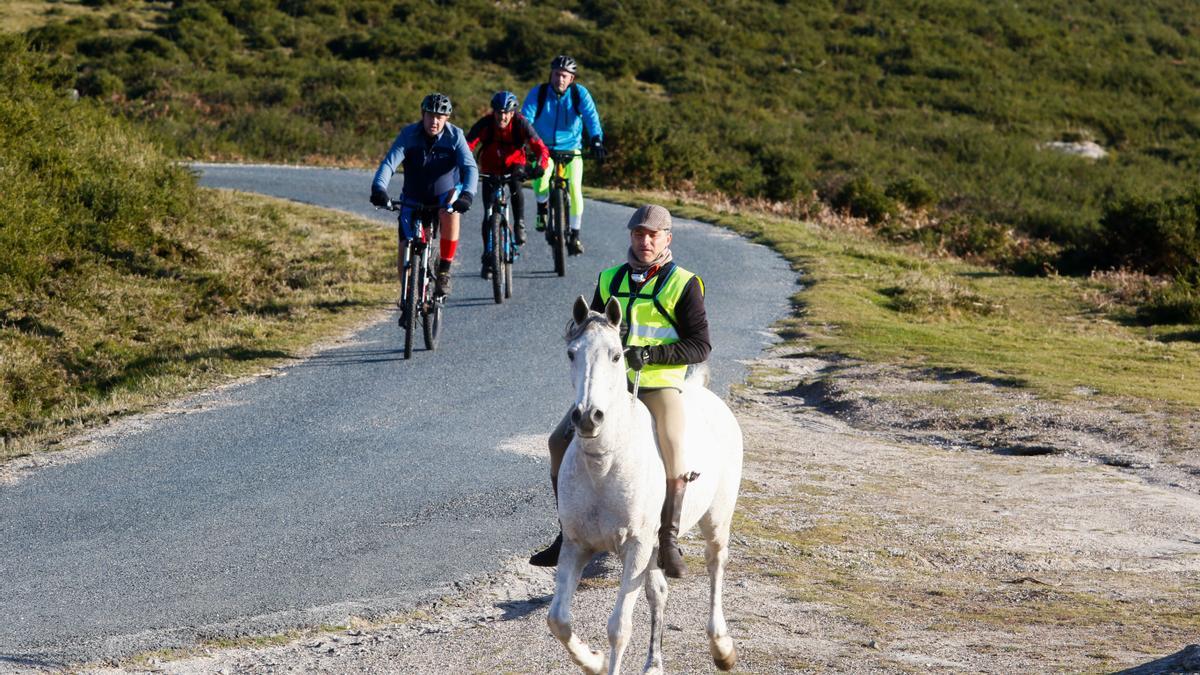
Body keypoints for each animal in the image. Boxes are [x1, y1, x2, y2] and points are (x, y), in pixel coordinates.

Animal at [549, 295, 739, 672]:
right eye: (571, 353)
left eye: (616, 355)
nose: (588, 417)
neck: (604, 466)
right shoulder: (576, 545)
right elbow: (558, 619)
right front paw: (593, 661)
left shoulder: (635, 547)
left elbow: (619, 627)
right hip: (654, 548)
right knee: (659, 592)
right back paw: (654, 663)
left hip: (715, 520)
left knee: (715, 565)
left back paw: (722, 648)